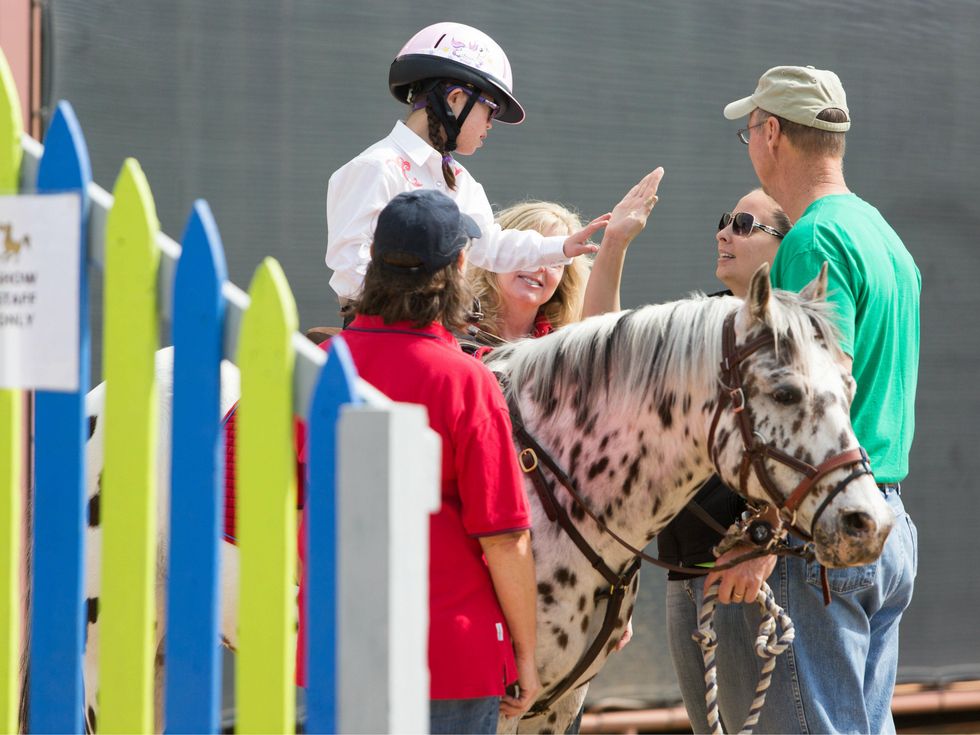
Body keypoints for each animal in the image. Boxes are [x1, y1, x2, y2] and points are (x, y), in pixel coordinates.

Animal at [29, 263, 891, 733]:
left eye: (850, 385)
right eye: (784, 390)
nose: (868, 522)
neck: (557, 478)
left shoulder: (556, 708)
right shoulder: (493, 702)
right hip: (107, 645)